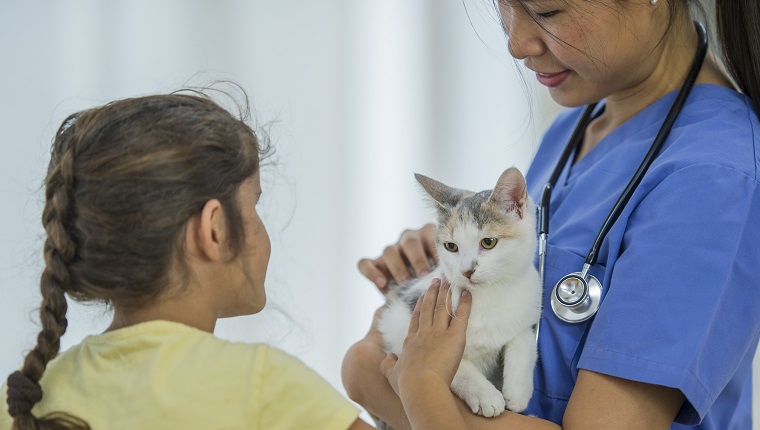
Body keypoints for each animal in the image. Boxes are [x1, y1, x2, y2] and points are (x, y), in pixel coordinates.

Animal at [378, 166, 540, 418]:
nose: (466, 271)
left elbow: (523, 341)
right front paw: (485, 395)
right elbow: (455, 366)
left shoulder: (529, 300)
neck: (490, 294)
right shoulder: (399, 325)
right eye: (451, 246)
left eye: (489, 242)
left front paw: (518, 392)